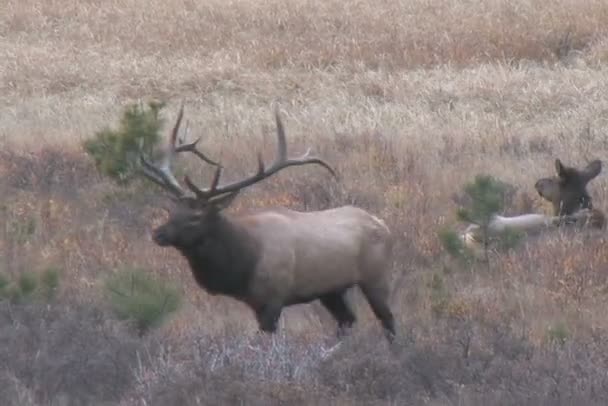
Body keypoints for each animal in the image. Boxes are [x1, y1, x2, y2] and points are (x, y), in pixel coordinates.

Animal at [137, 104, 396, 342]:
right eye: (173, 211)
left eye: (195, 217)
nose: (158, 234)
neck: (243, 264)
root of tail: (383, 225)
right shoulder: (255, 303)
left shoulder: (273, 298)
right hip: (330, 290)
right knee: (347, 319)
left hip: (375, 276)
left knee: (387, 319)